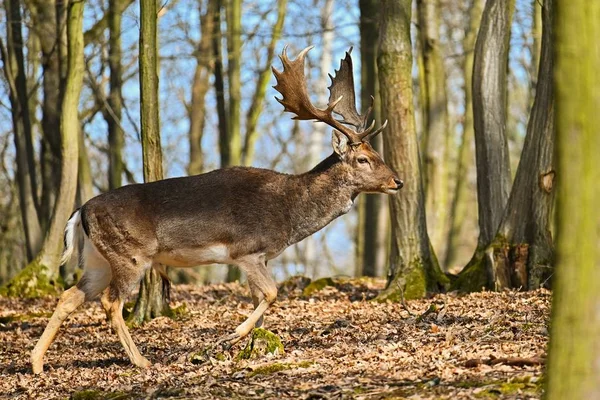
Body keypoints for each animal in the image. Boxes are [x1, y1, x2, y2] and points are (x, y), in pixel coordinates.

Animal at [29, 47, 404, 376]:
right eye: (363, 158)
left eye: (376, 153)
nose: (397, 181)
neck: (289, 213)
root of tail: (80, 210)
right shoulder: (247, 250)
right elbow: (271, 293)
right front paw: (230, 337)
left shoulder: (261, 257)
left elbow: (259, 300)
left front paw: (255, 347)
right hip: (129, 255)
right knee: (111, 302)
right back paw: (141, 361)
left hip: (97, 259)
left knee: (70, 296)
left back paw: (36, 362)